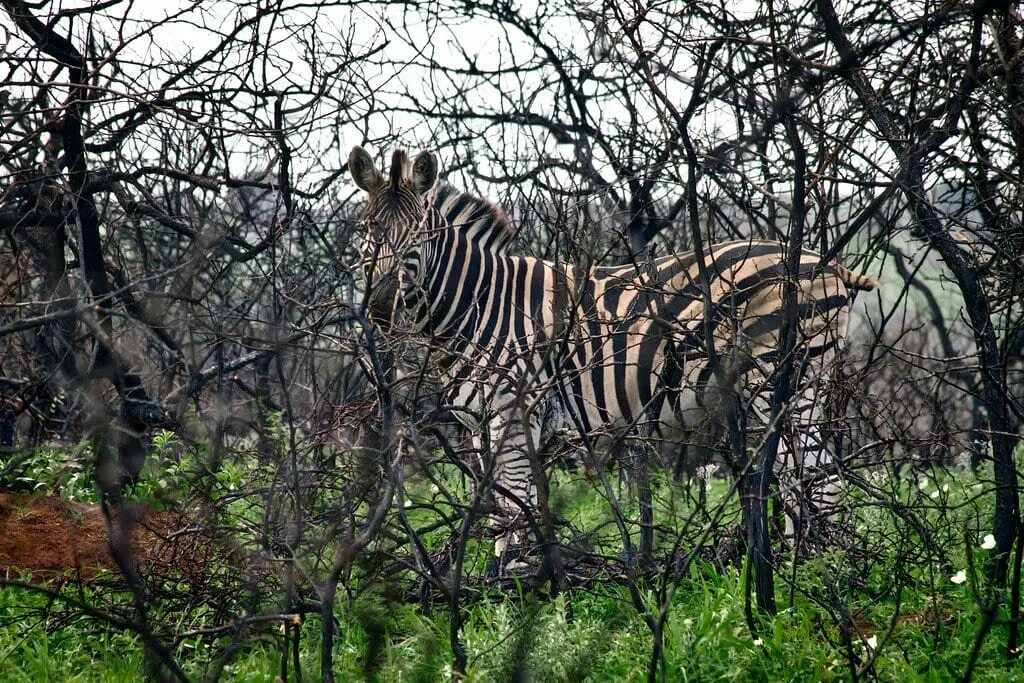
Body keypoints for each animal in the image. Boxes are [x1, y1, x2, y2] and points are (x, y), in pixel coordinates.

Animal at [348, 147, 876, 569]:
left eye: (419, 236)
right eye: (368, 229)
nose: (381, 306)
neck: (482, 303)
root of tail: (829, 263)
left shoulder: (514, 411)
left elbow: (516, 509)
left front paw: (514, 594)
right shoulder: (483, 424)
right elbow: (502, 509)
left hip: (784, 381)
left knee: (820, 479)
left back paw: (820, 577)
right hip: (794, 386)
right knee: (802, 476)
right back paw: (802, 569)